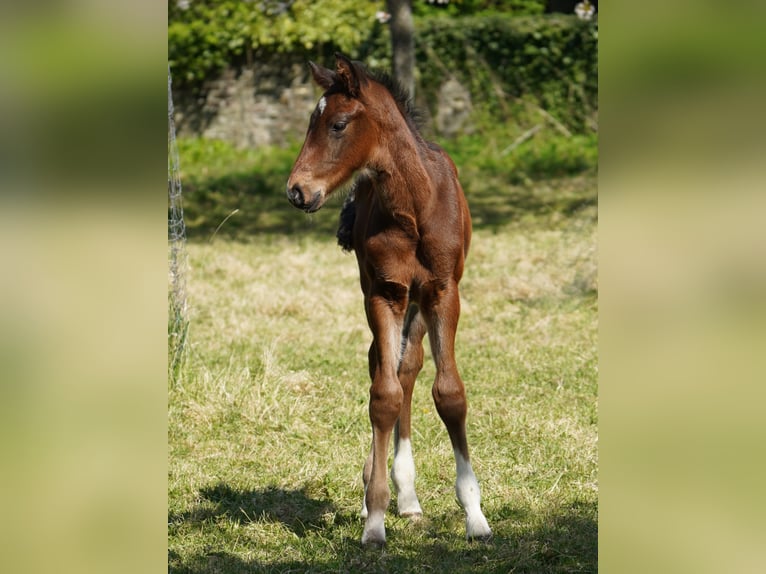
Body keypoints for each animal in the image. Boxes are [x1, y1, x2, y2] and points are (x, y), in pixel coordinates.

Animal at [286, 54, 492, 548]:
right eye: (309, 123)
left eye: (338, 124)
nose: (297, 190)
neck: (415, 205)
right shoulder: (384, 292)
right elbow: (383, 395)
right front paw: (374, 517)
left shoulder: (442, 292)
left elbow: (449, 393)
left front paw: (475, 514)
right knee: (384, 368)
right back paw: (383, 491)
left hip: (417, 305)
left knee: (408, 366)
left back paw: (409, 496)